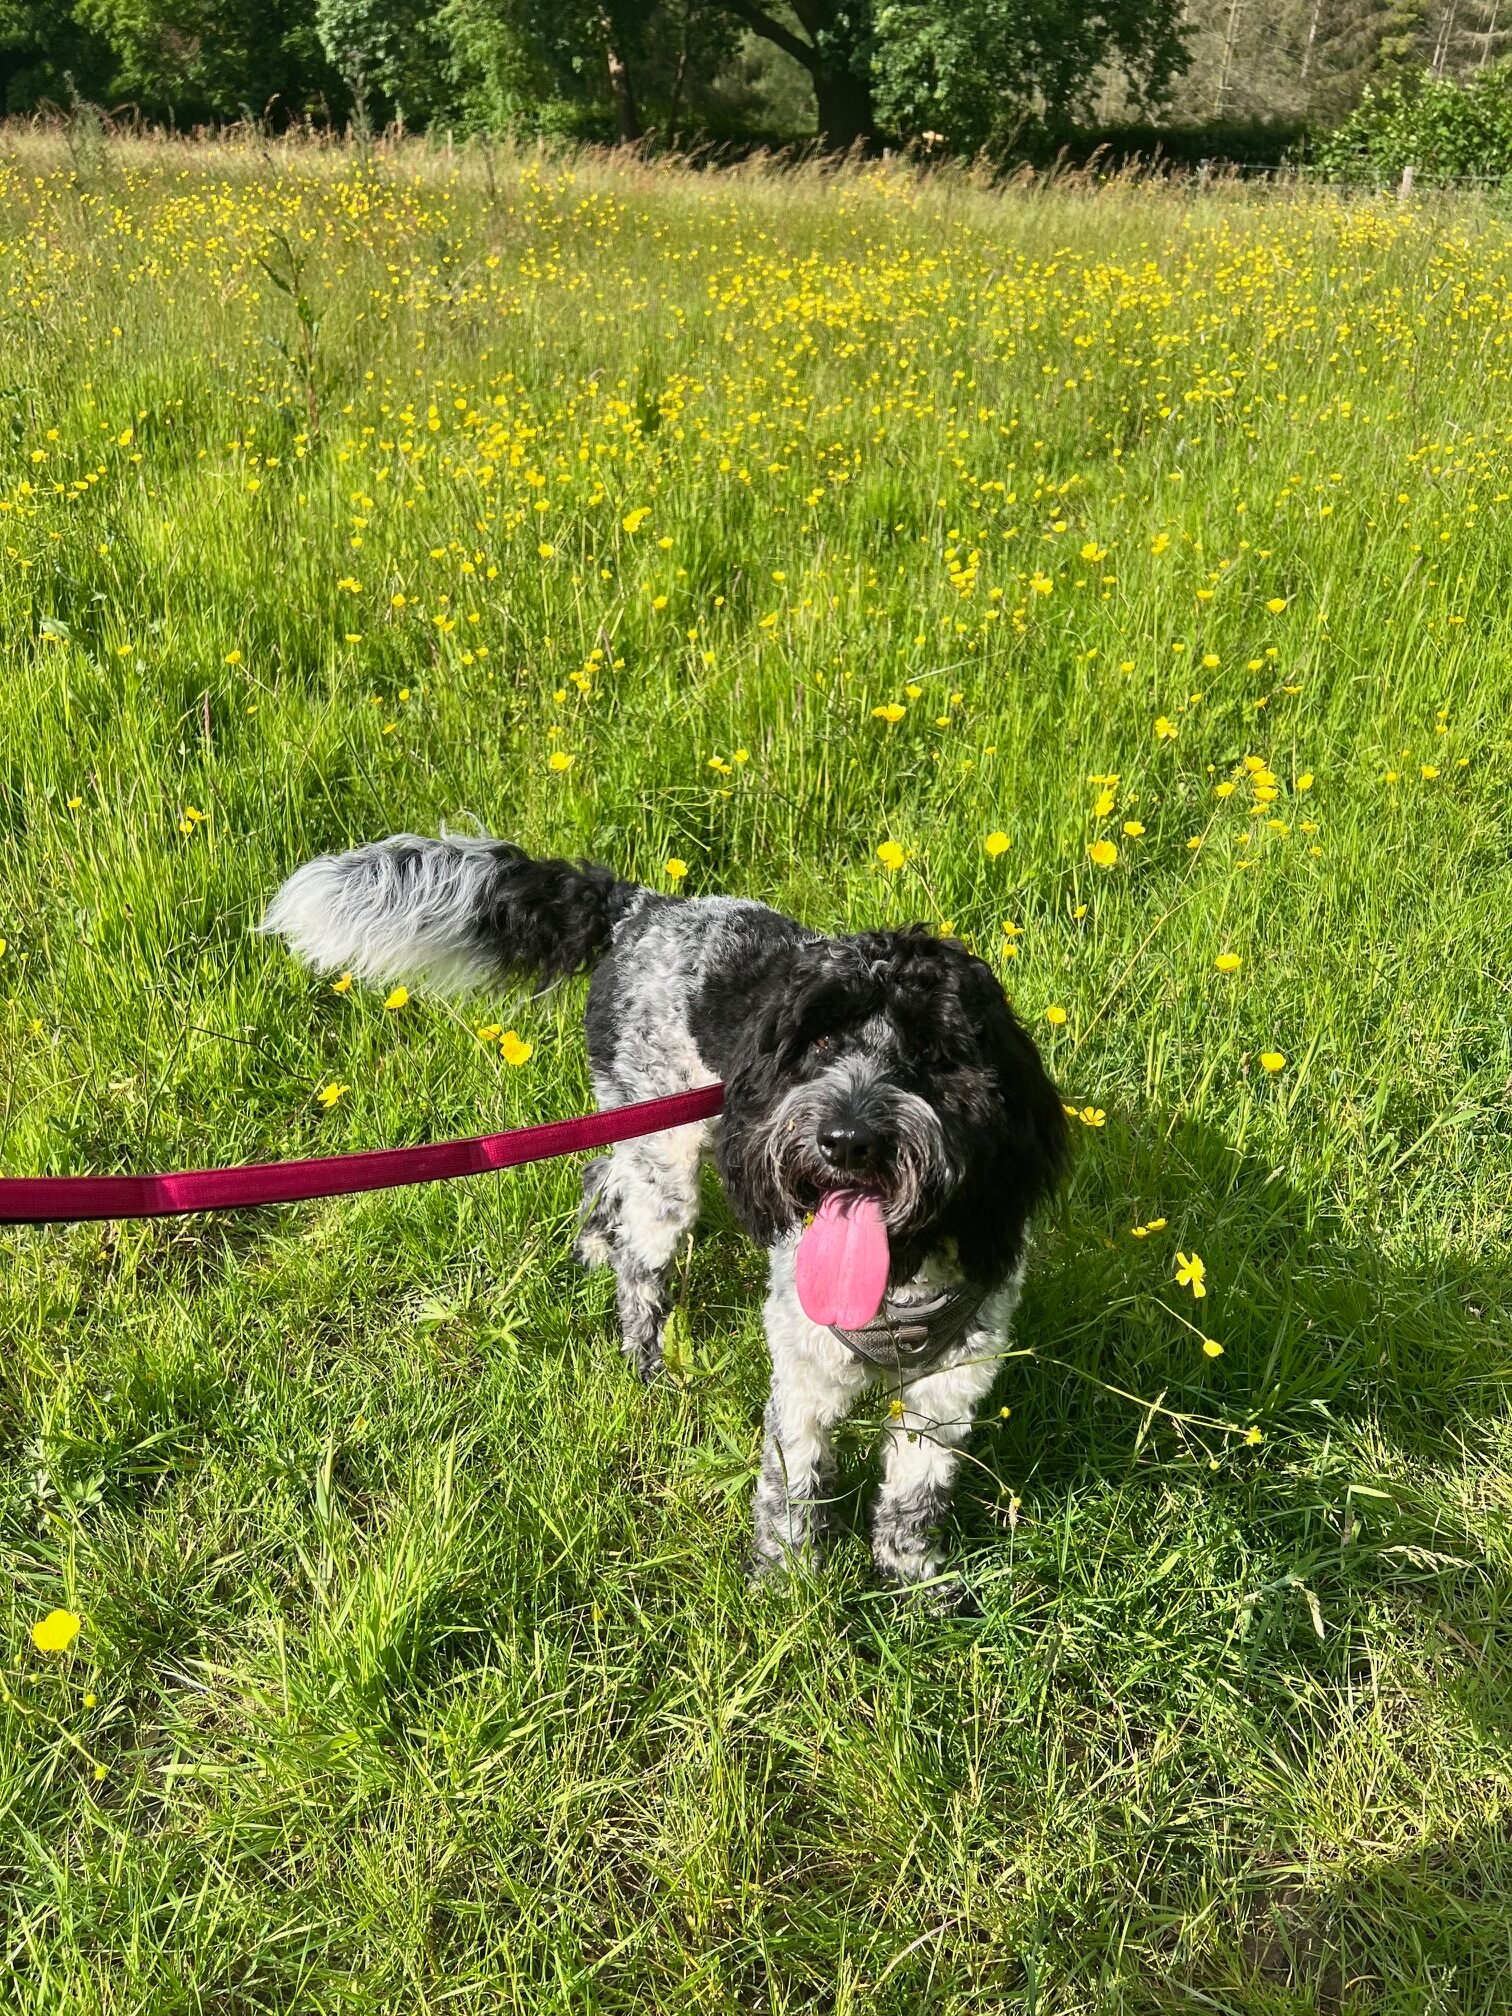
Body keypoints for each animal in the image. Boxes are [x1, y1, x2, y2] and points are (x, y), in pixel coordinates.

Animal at [260, 834, 1072, 1588]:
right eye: (817, 1043)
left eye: (937, 1054)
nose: (846, 1140)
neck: (898, 1280)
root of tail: (642, 908)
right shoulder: (803, 1379)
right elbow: (792, 1493)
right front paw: (786, 1591)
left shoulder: (949, 1389)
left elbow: (912, 1501)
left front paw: (915, 1587)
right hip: (664, 1151)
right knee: (638, 1258)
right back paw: (646, 1363)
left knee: (600, 1171)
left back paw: (592, 1247)